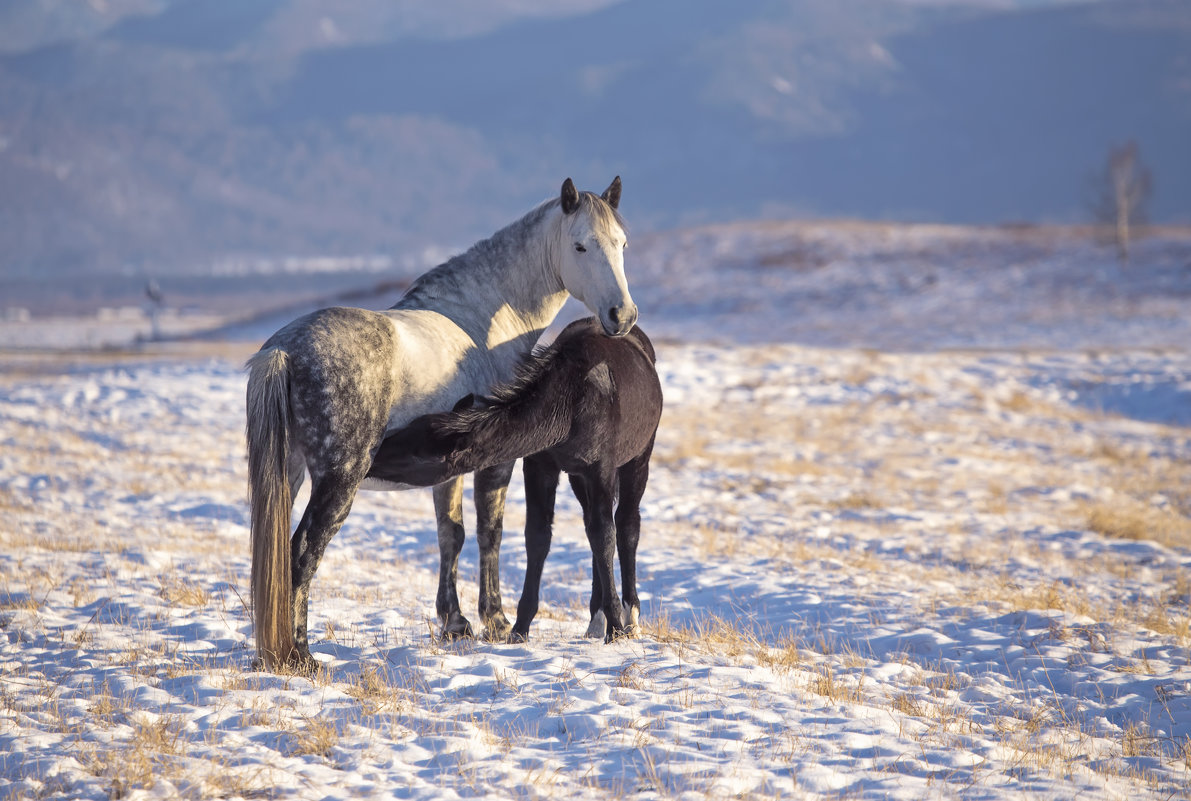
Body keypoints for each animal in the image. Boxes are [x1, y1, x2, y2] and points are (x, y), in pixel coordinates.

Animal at [244, 176, 633, 666]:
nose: (622, 316)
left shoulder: (448, 470)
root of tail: (285, 351)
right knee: (302, 554)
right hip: (338, 481)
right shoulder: (495, 462)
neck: (481, 323)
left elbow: (452, 534)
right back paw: (301, 656)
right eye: (580, 245)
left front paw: (455, 623)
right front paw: (495, 620)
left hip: (290, 474)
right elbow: (490, 532)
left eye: (622, 243)